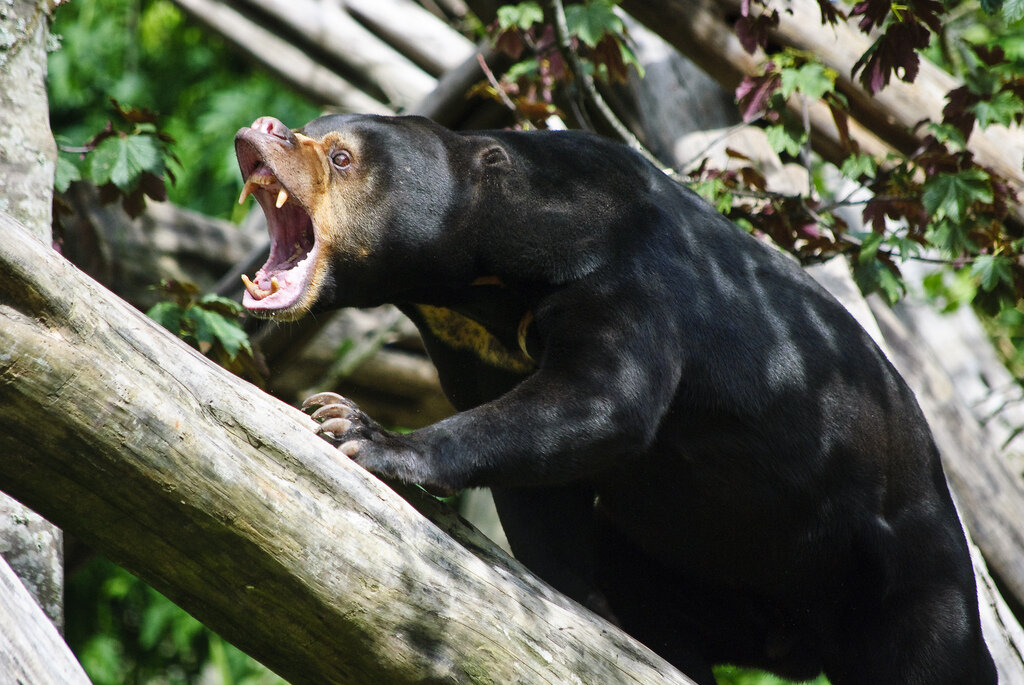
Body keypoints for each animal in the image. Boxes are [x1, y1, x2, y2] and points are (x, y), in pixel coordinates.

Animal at [235, 113, 995, 683]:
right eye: (308, 127)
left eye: (340, 156)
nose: (262, 129)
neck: (481, 281)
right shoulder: (476, 350)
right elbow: (543, 496)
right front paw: (584, 603)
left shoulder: (629, 277)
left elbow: (603, 401)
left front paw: (361, 430)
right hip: (701, 571)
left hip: (908, 578)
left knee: (931, 657)